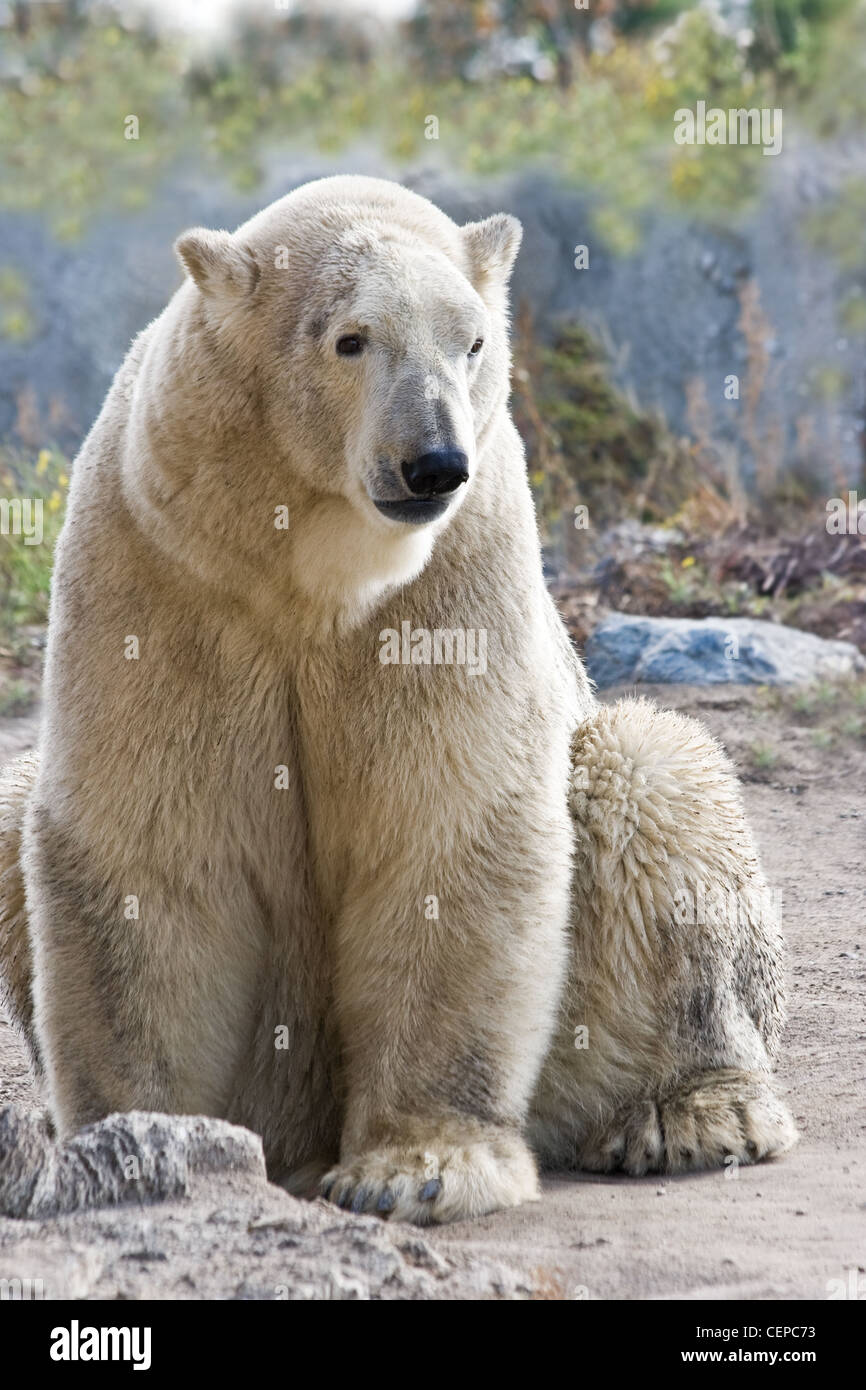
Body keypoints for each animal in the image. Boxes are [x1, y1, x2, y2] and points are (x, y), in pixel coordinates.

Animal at [0, 176, 795, 1228]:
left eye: (474, 341)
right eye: (351, 339)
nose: (434, 463)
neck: (307, 575)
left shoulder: (455, 578)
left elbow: (446, 829)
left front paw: (419, 1167)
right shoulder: (157, 565)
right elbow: (146, 845)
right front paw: (134, 1137)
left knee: (651, 775)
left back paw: (691, 1112)